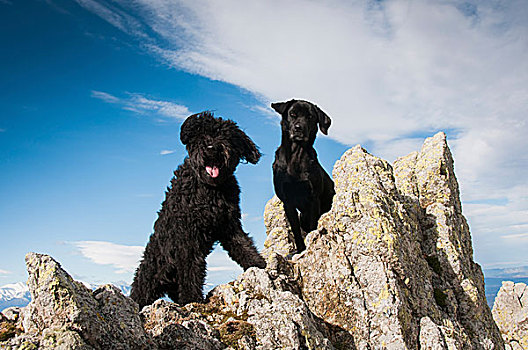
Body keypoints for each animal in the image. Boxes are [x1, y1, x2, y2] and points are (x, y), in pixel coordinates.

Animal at [130, 111, 266, 306]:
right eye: (200, 134)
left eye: (225, 135)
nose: (211, 148)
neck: (210, 189)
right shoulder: (188, 237)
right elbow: (190, 269)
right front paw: (192, 299)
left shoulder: (229, 225)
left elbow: (242, 244)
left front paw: (260, 264)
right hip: (150, 279)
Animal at [272, 100, 334, 253]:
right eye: (293, 114)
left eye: (310, 117)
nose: (298, 128)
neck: (296, 155)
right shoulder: (287, 201)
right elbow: (295, 229)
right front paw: (301, 249)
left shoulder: (313, 198)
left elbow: (313, 225)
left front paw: (312, 242)